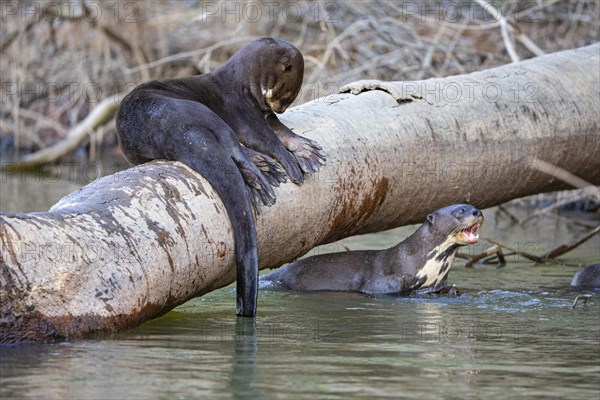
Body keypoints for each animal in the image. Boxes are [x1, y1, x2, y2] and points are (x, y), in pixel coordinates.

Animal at [115, 38, 326, 318]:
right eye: (288, 96)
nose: (280, 107)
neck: (241, 82)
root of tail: (167, 130)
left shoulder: (261, 111)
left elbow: (280, 129)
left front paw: (305, 149)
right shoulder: (239, 107)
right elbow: (264, 135)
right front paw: (291, 159)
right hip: (199, 112)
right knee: (232, 143)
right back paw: (264, 170)